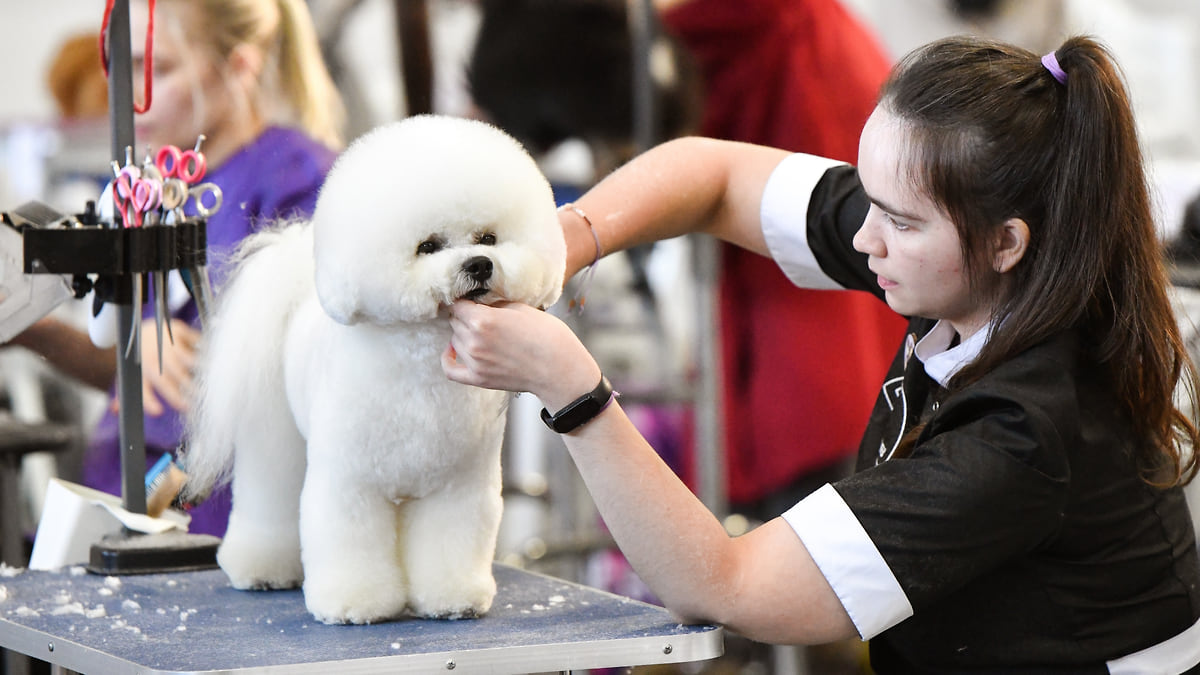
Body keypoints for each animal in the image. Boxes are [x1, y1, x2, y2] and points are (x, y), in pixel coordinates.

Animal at [182, 112, 566, 624]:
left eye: (488, 238)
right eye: (428, 246)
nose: (480, 265)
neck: (421, 370)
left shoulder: (457, 489)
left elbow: (452, 542)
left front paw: (453, 597)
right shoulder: (350, 485)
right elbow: (349, 542)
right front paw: (353, 602)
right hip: (275, 439)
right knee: (270, 497)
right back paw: (260, 569)